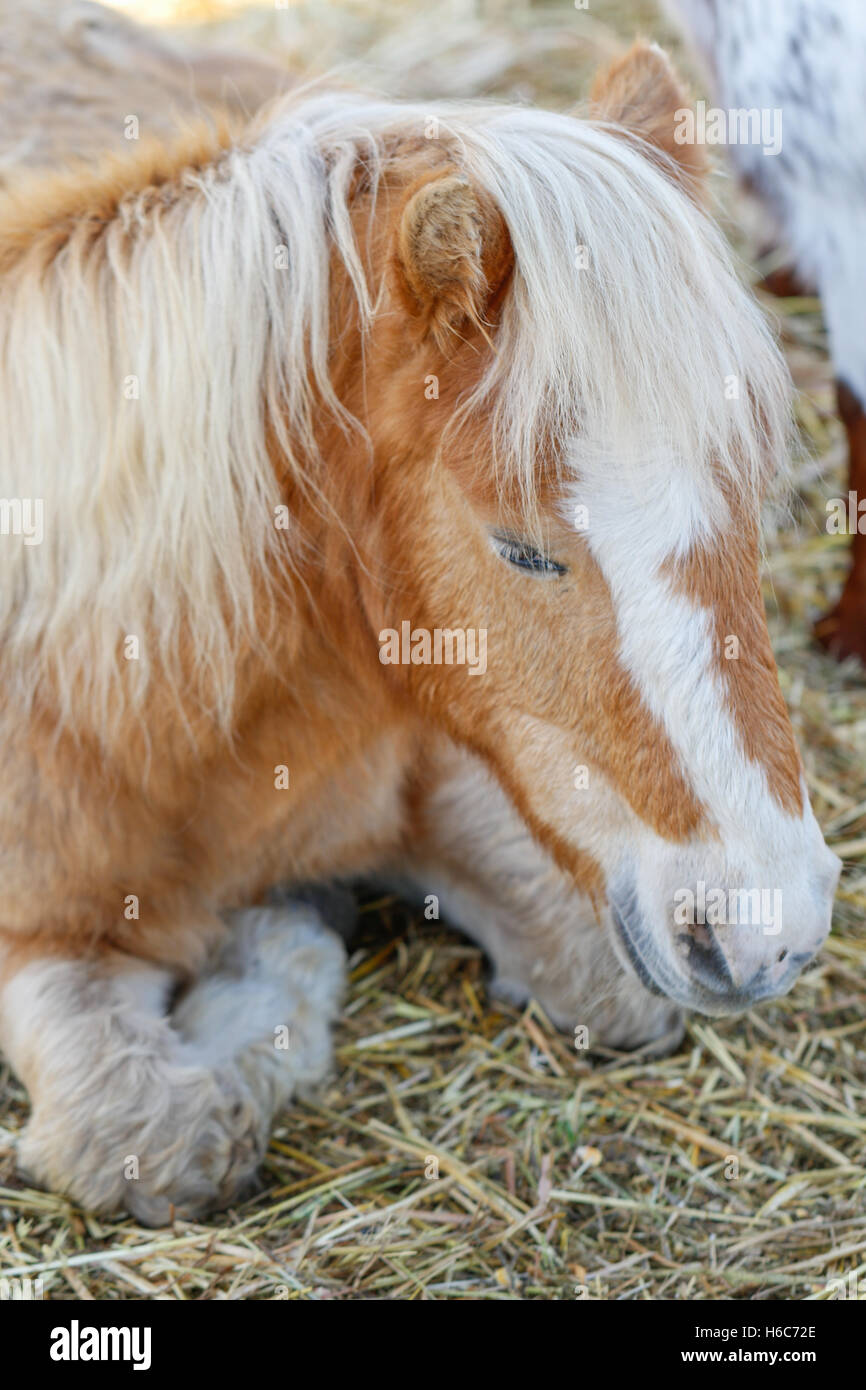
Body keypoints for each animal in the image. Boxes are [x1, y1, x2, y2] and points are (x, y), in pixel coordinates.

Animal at [0, 21, 840, 1224]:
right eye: (519, 547)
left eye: (752, 493)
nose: (771, 931)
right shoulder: (37, 936)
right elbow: (154, 1135)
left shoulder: (458, 767)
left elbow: (603, 981)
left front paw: (283, 932)